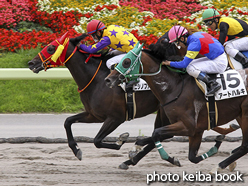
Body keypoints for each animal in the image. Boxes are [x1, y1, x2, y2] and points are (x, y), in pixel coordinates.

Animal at [104, 42, 246, 171]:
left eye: (126, 61)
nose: (108, 80)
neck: (174, 88)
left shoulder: (188, 126)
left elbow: (156, 133)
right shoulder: (196, 129)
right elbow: (192, 157)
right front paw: (216, 144)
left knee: (245, 146)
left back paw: (219, 166)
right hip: (240, 115)